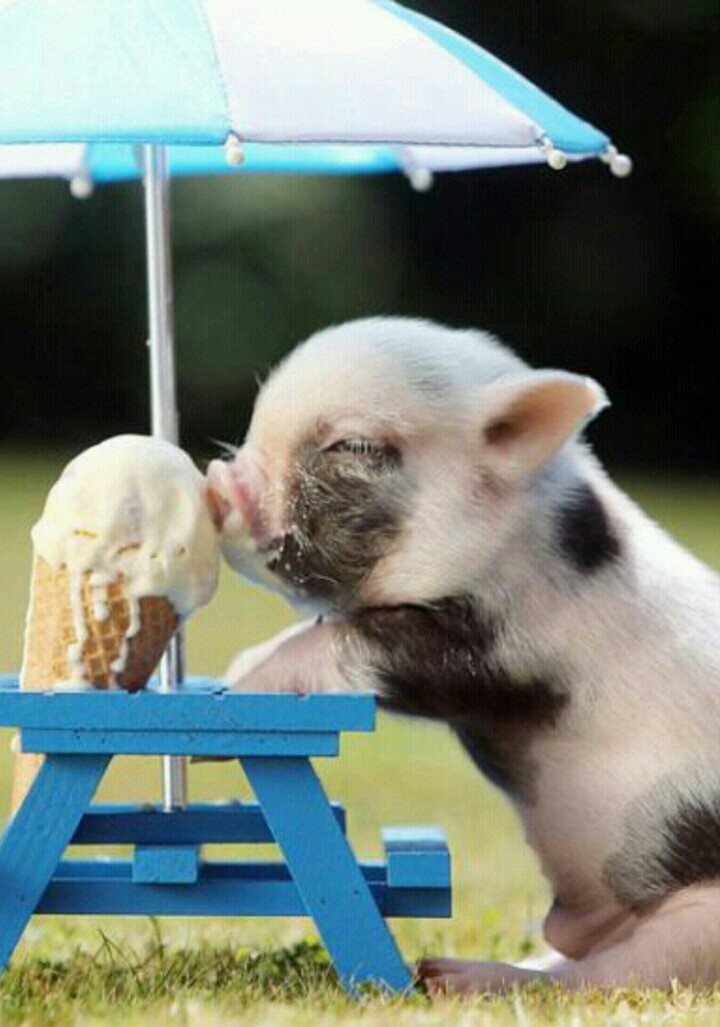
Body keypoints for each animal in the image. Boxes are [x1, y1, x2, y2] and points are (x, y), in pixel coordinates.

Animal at [206, 317, 720, 994]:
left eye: (354, 446)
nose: (217, 481)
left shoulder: (503, 645)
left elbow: (355, 639)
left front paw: (236, 689)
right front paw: (238, 666)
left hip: (699, 922)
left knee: (606, 976)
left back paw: (448, 977)